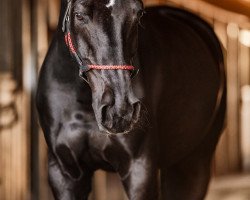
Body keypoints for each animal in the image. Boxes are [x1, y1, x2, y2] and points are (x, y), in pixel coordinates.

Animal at [36, 0, 226, 199]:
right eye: (79, 15)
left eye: (138, 14)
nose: (119, 111)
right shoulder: (64, 174)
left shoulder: (139, 169)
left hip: (195, 163)